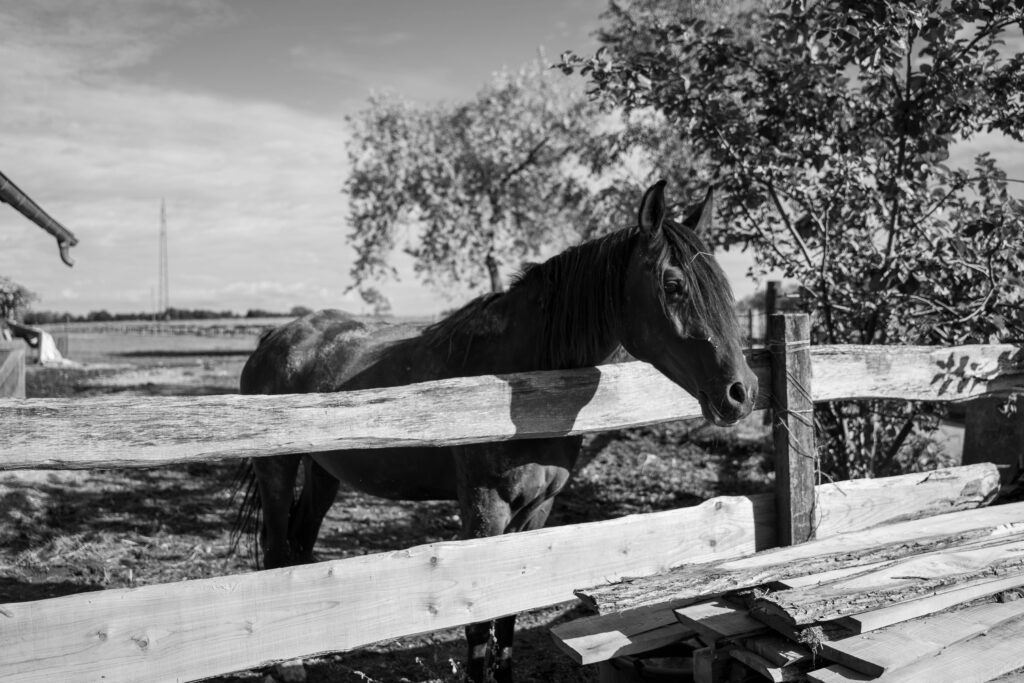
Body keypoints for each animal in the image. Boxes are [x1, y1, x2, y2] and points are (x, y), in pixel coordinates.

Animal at [237, 180, 758, 682]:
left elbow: (508, 617)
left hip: (324, 473)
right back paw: (288, 668)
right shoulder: (485, 508)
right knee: (277, 551)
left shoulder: (538, 508)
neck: (521, 381)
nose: (742, 391)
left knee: (300, 546)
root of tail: (276, 338)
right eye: (673, 284)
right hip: (277, 471)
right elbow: (477, 621)